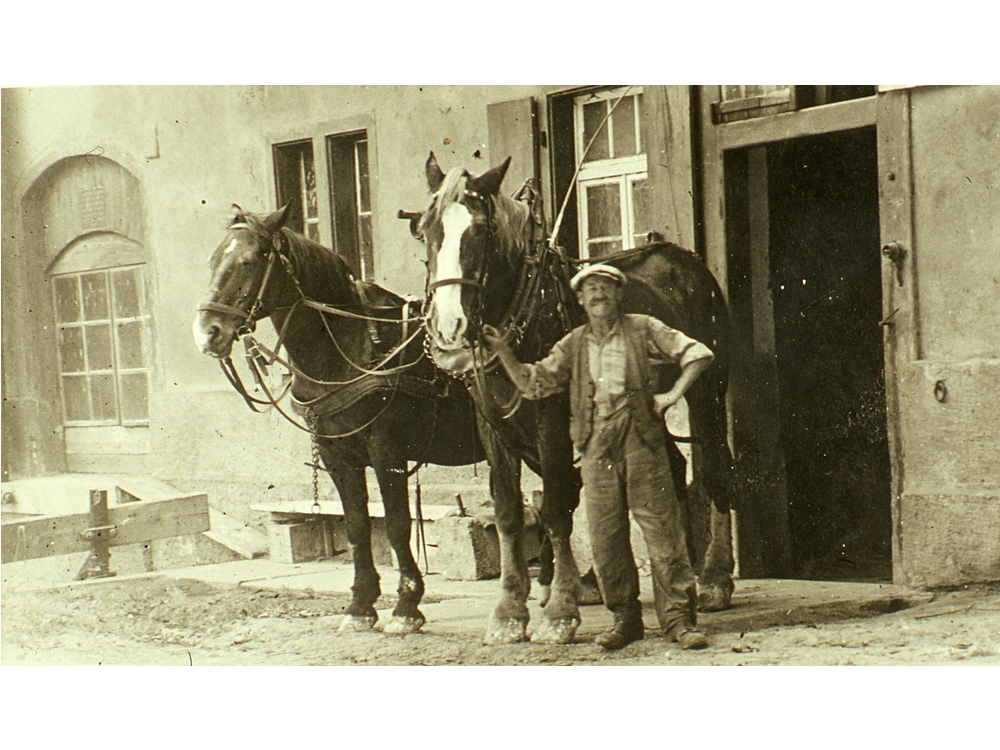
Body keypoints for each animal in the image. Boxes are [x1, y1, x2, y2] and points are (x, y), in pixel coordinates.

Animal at [194, 204, 484, 636]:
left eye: (250, 261)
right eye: (213, 261)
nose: (208, 334)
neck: (348, 346)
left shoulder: (387, 452)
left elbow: (397, 525)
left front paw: (406, 607)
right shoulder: (337, 457)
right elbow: (357, 526)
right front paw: (361, 605)